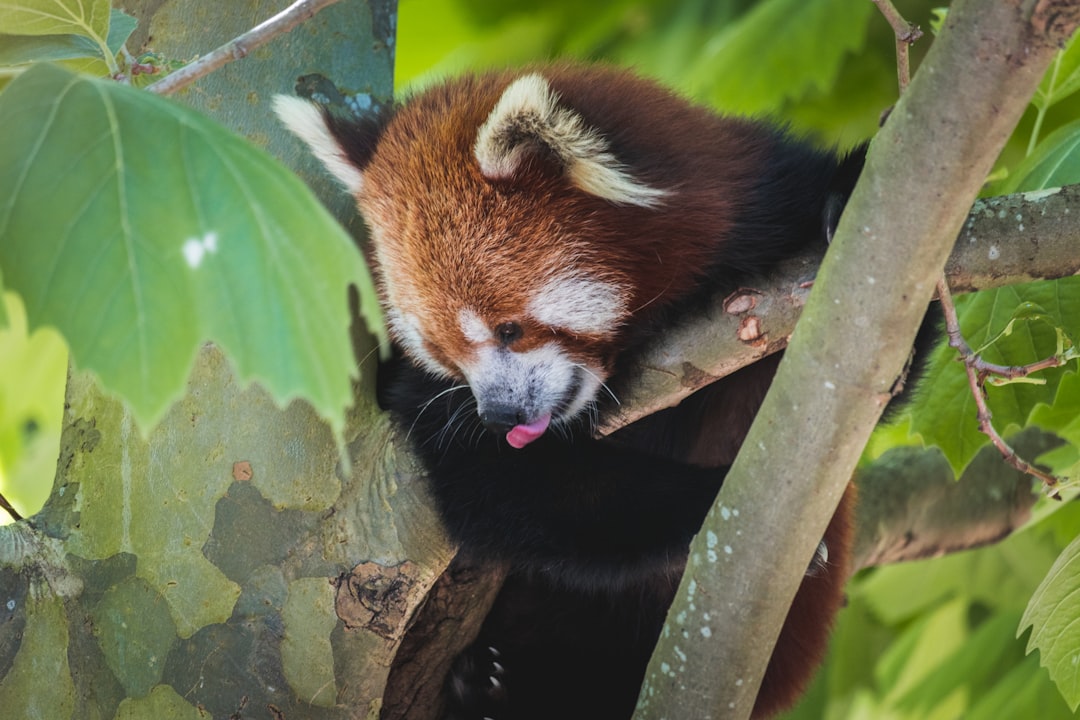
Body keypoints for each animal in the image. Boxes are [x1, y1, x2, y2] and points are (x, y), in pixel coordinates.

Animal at [276, 64, 868, 716]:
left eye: (508, 329)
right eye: (441, 351)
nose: (498, 414)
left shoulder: (761, 204)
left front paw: (847, 196)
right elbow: (500, 485)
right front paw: (711, 502)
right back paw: (485, 686)